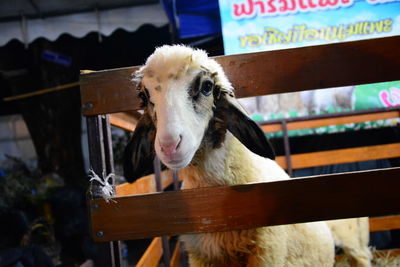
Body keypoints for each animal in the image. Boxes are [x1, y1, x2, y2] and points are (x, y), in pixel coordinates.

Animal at [123, 45, 370, 266]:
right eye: (144, 95)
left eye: (206, 87)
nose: (169, 146)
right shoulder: (203, 255)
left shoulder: (267, 252)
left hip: (353, 241)